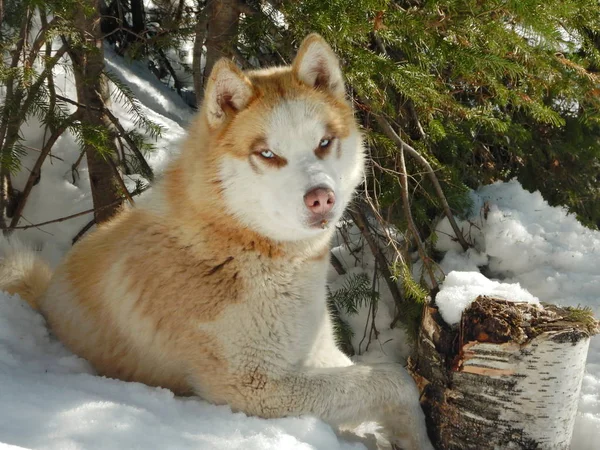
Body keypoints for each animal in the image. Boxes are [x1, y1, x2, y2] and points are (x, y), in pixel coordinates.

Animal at [0, 33, 432, 448]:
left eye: (324, 143)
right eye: (267, 154)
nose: (321, 197)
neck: (238, 246)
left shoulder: (317, 354)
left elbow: (379, 377)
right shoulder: (254, 389)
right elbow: (395, 380)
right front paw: (416, 436)